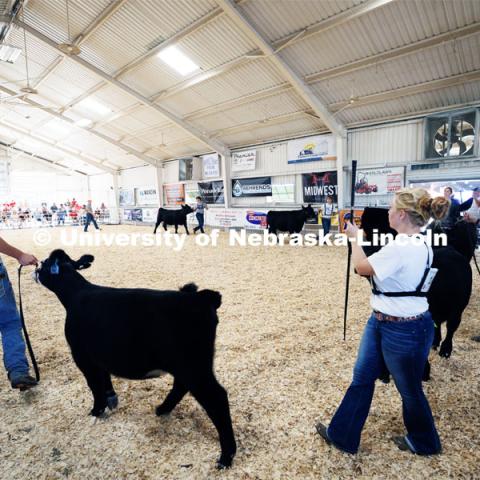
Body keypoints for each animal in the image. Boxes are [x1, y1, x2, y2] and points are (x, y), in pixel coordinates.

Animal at [34, 251, 236, 468]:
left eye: (44, 263)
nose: (35, 269)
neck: (76, 295)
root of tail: (202, 298)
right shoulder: (100, 357)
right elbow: (104, 380)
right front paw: (111, 399)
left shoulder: (82, 356)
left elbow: (94, 385)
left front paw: (96, 410)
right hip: (188, 365)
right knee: (182, 386)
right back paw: (162, 409)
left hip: (193, 365)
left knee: (216, 397)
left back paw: (226, 456)